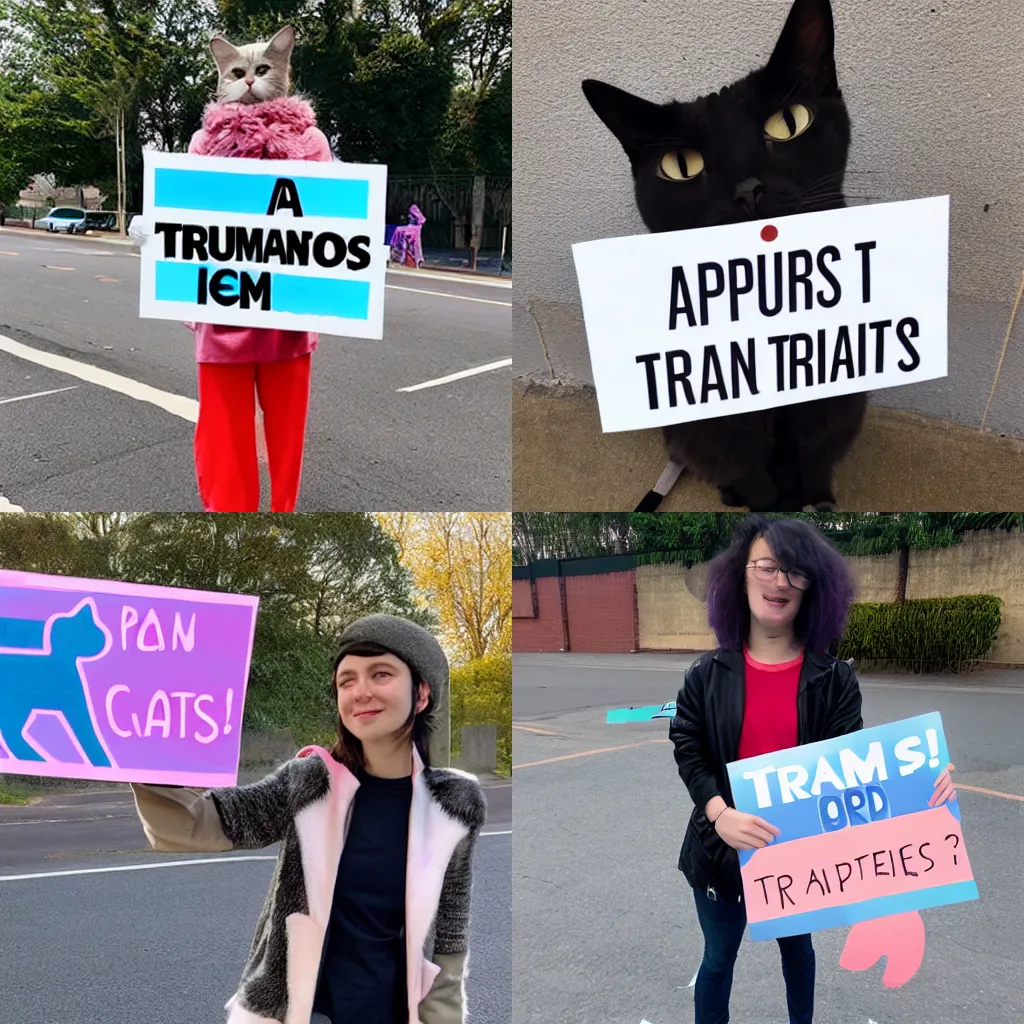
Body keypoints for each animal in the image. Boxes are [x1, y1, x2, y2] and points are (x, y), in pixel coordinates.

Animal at [585, 0, 864, 512]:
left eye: (789, 123)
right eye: (681, 166)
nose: (748, 191)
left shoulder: (830, 406)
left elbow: (815, 462)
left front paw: (817, 503)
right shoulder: (722, 431)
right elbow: (757, 483)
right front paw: (767, 505)